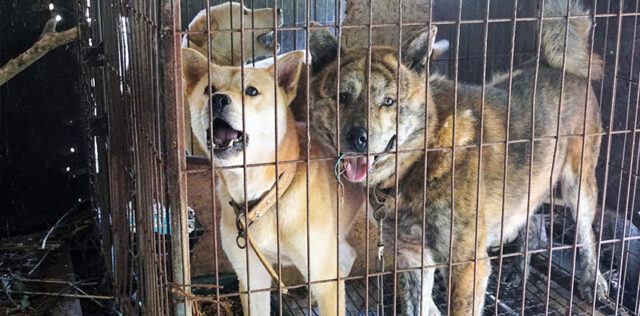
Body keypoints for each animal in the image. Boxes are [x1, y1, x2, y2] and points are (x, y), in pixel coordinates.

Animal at [184, 47, 364, 316]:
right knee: (348, 255)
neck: (267, 195)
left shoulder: (324, 276)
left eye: (251, 91)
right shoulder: (252, 278)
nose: (218, 99)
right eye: (208, 89)